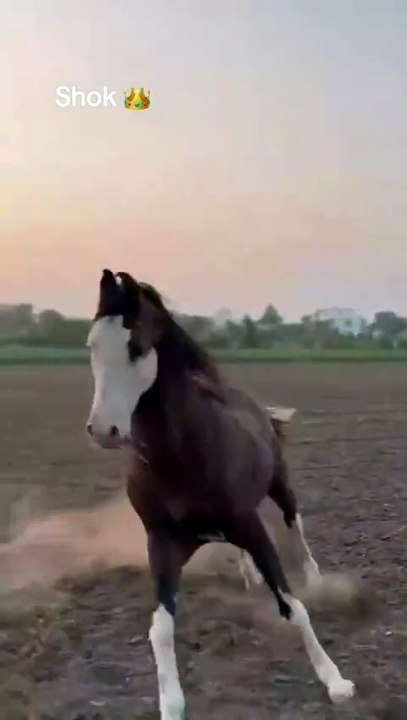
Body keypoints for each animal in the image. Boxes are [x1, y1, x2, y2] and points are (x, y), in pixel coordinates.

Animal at [86, 269, 355, 719]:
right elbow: (161, 628)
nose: (102, 430)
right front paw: (171, 705)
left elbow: (292, 605)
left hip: (279, 488)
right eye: (91, 345)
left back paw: (315, 577)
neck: (182, 457)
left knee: (294, 523)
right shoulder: (164, 542)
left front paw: (336, 682)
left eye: (136, 346)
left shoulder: (253, 528)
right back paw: (248, 576)